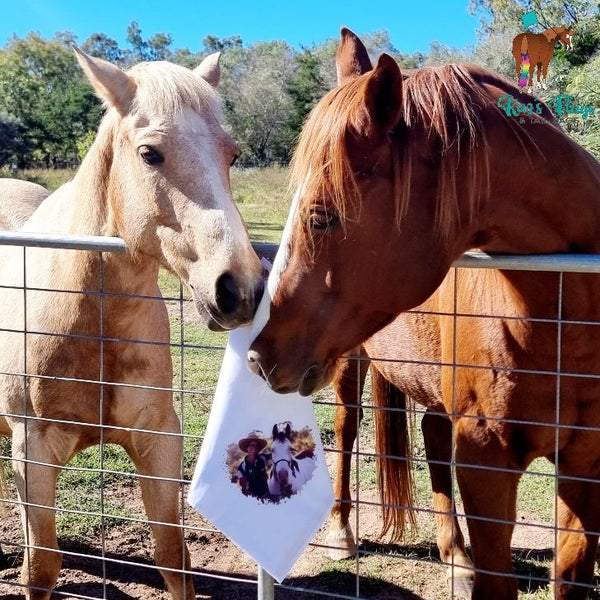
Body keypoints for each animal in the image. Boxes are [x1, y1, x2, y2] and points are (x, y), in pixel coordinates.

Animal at [0, 48, 262, 600]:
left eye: (230, 155)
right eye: (149, 154)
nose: (240, 289)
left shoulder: (158, 438)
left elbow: (173, 556)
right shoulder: (32, 452)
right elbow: (41, 567)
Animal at [247, 28, 600, 600]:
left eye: (322, 216)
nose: (259, 355)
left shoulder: (585, 463)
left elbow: (569, 577)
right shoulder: (485, 463)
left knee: (433, 436)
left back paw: (454, 554)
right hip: (348, 365)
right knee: (348, 428)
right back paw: (343, 531)